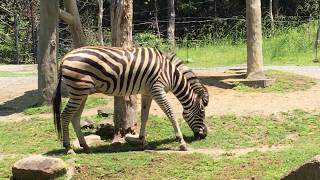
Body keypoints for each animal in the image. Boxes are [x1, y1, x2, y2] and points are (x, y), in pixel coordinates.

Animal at [52, 46, 210, 153]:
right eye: (202, 112)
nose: (204, 135)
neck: (170, 73)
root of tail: (65, 57)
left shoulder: (148, 93)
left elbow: (144, 116)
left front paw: (142, 141)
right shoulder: (158, 89)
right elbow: (171, 113)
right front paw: (181, 142)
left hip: (82, 92)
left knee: (75, 117)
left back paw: (85, 147)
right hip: (78, 91)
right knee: (65, 115)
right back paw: (68, 148)